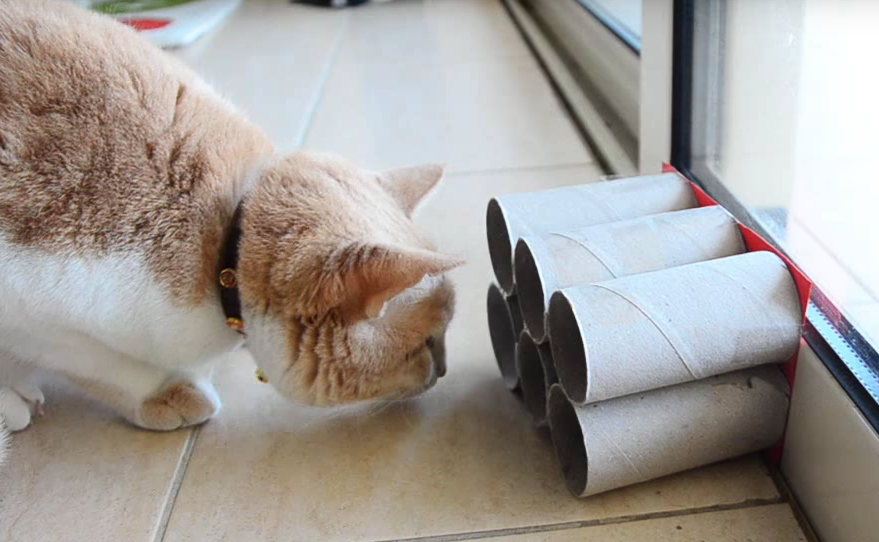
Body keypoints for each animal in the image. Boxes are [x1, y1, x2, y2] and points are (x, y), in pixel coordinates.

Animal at [0, 0, 464, 464]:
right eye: (428, 344)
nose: (444, 370)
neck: (227, 247)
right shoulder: (37, 321)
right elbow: (107, 367)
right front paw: (171, 394)